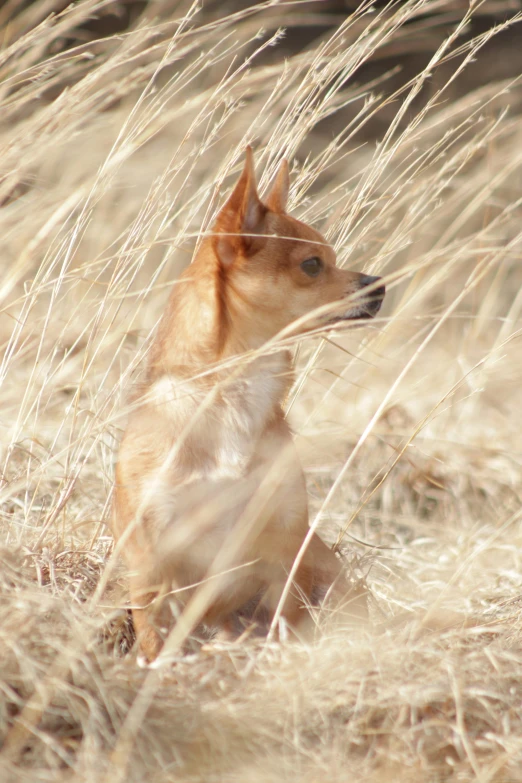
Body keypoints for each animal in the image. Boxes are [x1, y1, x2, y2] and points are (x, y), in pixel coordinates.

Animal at [111, 147, 384, 660]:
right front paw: (159, 669)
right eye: (312, 265)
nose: (378, 286)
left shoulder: (283, 544)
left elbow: (286, 617)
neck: (232, 393)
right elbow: (155, 635)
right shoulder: (154, 555)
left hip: (325, 569)